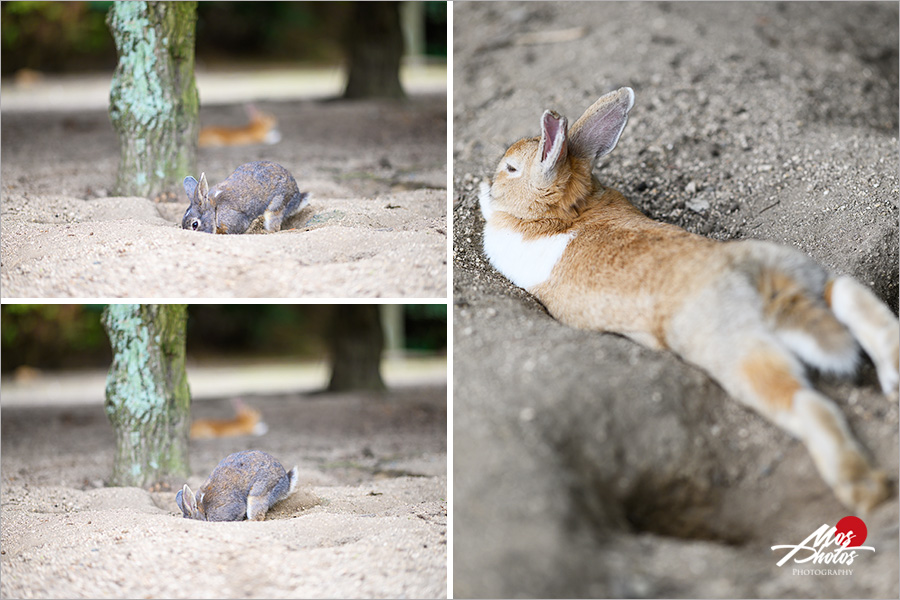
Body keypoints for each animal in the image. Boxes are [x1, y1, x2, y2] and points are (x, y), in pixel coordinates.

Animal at [478, 86, 900, 512]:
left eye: (511, 169)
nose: (485, 183)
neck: (566, 212)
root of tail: (752, 281)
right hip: (802, 272)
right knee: (847, 295)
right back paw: (894, 380)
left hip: (737, 351)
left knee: (807, 403)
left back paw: (865, 489)